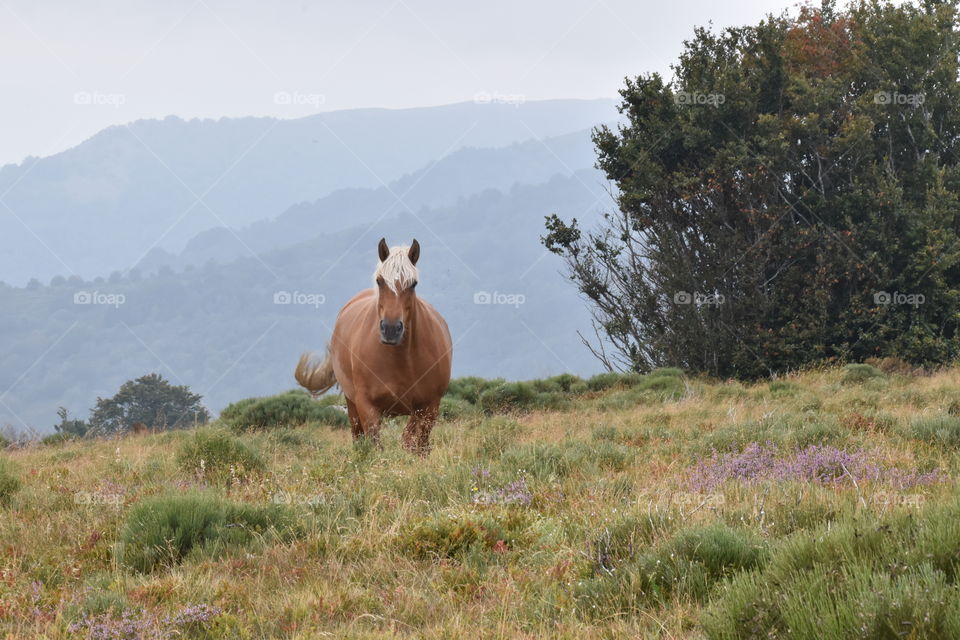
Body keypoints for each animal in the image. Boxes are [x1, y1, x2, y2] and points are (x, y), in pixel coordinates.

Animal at [295, 238, 453, 454]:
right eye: (380, 281)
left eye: (413, 284)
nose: (391, 329)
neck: (402, 360)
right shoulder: (367, 407)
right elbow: (377, 446)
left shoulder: (428, 406)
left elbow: (412, 442)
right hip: (352, 405)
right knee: (358, 437)